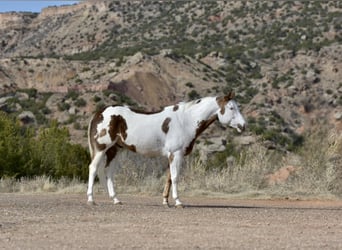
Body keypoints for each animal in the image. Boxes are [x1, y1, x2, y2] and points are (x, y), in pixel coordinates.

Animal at [87, 92, 244, 207]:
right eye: (231, 108)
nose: (243, 125)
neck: (185, 121)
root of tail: (99, 113)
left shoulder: (172, 155)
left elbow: (169, 177)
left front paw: (165, 201)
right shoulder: (176, 154)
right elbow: (175, 177)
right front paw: (178, 202)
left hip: (115, 150)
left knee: (108, 172)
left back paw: (115, 200)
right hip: (101, 148)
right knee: (93, 168)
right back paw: (91, 199)